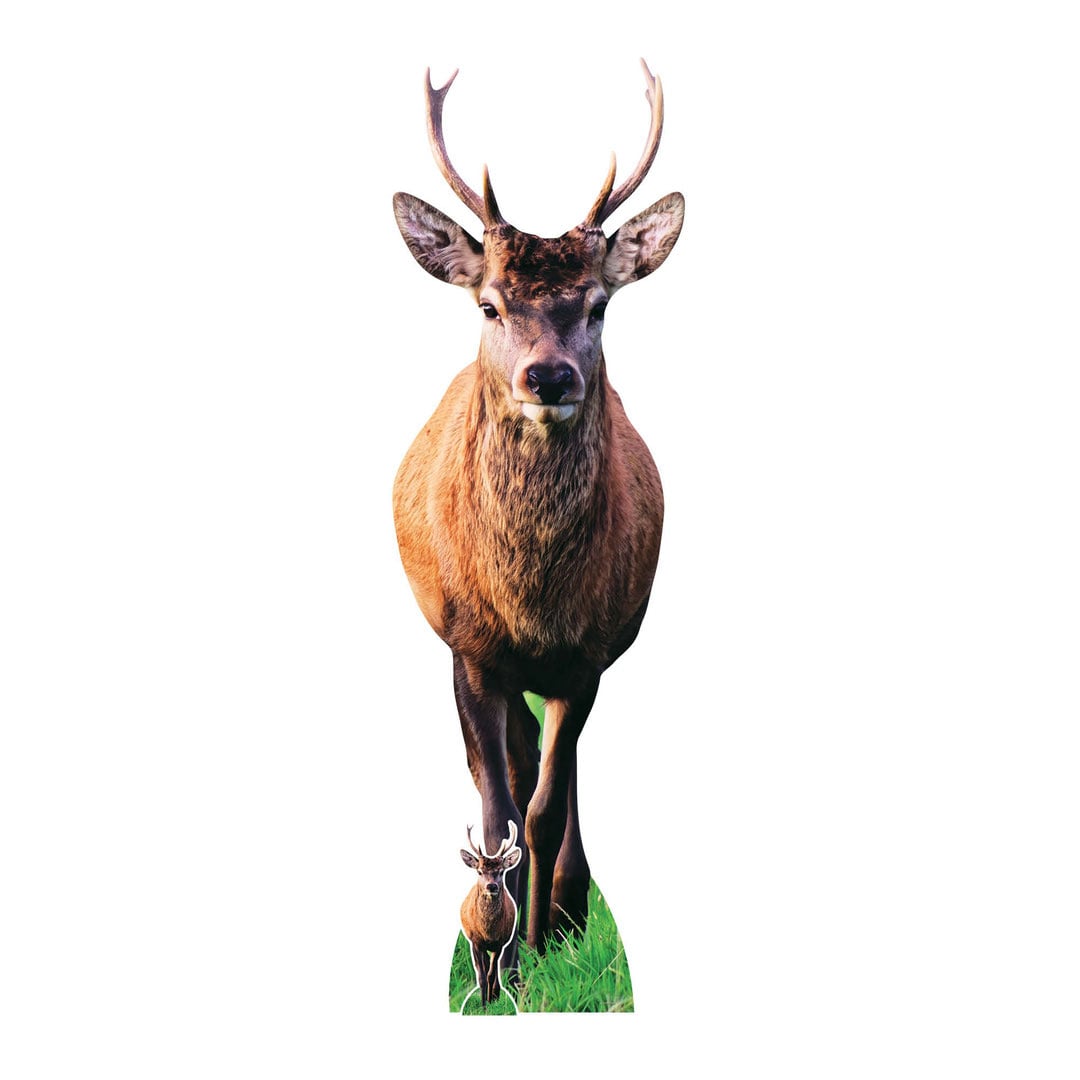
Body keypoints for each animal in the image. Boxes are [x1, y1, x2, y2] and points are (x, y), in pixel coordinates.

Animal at [392, 60, 683, 978]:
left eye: (597, 306)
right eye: (489, 305)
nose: (548, 377)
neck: (531, 600)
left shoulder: (587, 655)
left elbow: (548, 805)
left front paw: (540, 944)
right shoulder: (469, 646)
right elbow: (499, 810)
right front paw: (506, 961)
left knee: (561, 778)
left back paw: (566, 910)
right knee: (509, 775)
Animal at [459, 821, 522, 1007]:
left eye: (501, 871)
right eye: (479, 871)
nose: (491, 886)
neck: (488, 932)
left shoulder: (500, 943)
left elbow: (492, 975)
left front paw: (493, 999)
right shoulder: (475, 941)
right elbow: (481, 976)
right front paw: (483, 1005)